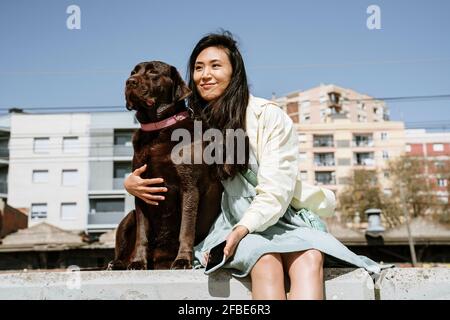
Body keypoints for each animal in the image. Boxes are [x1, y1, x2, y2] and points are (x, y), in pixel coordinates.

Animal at [107, 60, 223, 270]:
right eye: (133, 71)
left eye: (153, 72)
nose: (129, 81)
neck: (157, 129)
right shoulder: (142, 189)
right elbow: (142, 234)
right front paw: (138, 262)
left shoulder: (189, 186)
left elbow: (186, 228)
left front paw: (183, 260)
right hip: (128, 218)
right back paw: (119, 263)